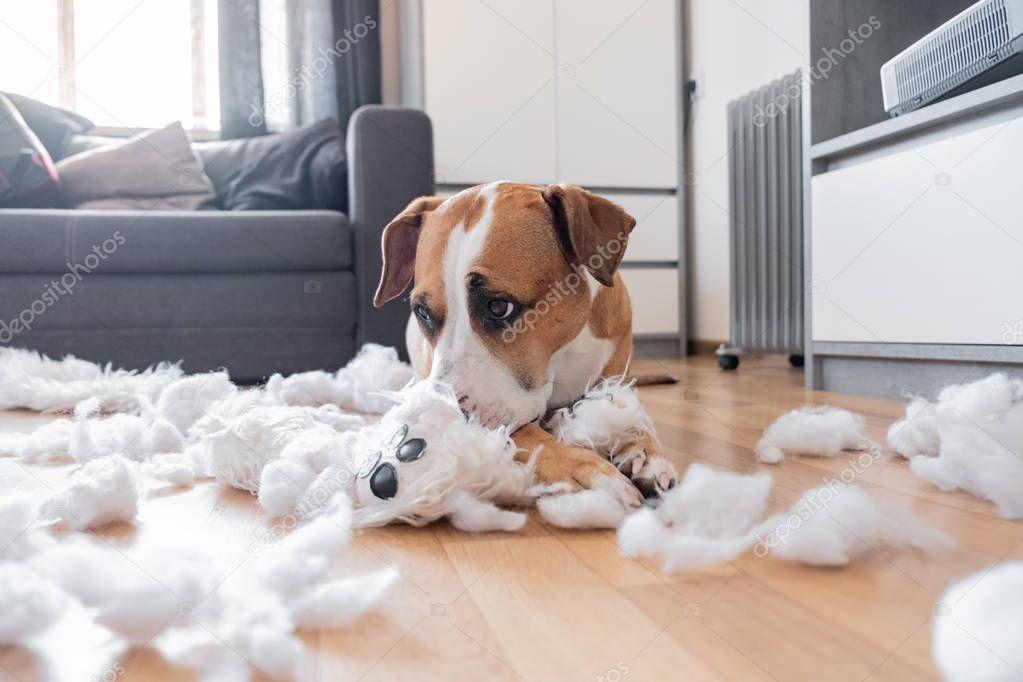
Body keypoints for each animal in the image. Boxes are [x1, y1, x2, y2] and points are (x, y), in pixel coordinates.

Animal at [372, 180, 675, 507]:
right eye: (423, 312)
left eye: (498, 307)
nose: (443, 418)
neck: (561, 358)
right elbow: (528, 434)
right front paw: (584, 468)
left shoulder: (614, 380)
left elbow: (629, 413)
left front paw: (645, 452)